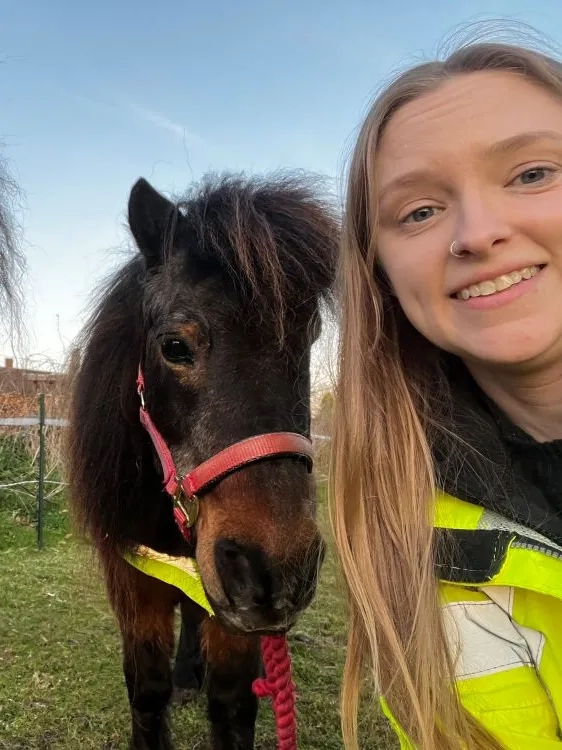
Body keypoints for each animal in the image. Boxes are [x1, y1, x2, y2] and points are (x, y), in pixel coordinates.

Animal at [66, 171, 339, 750]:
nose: (276, 571)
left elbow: (232, 707)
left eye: (307, 340)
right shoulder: (132, 579)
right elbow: (147, 691)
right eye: (174, 346)